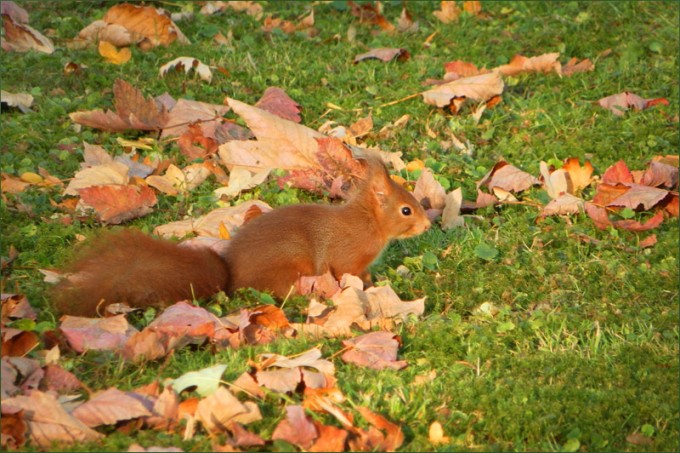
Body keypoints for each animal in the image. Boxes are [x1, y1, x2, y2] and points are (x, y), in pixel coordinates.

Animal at [52, 157, 431, 317]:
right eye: (406, 210)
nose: (428, 225)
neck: (368, 223)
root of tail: (231, 278)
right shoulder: (347, 258)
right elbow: (350, 273)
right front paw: (368, 285)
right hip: (292, 263)